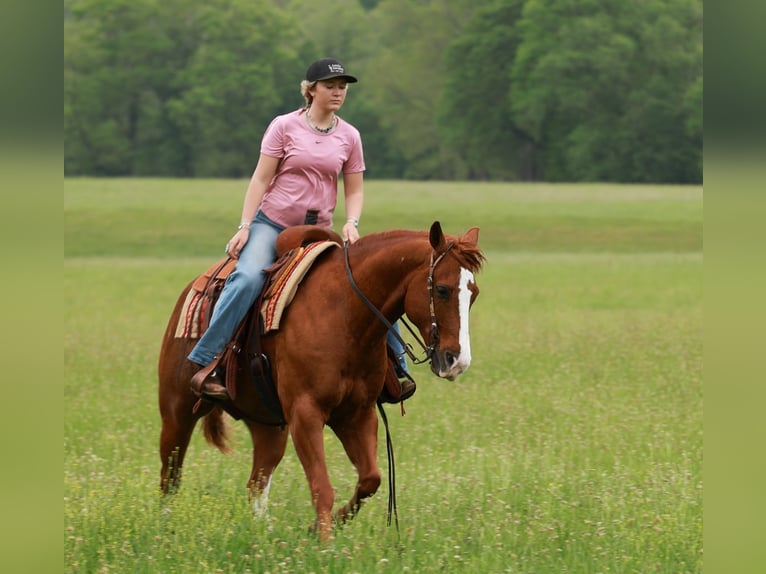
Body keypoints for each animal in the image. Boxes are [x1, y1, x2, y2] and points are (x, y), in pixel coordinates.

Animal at [158, 221, 485, 539]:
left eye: (474, 293)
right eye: (441, 289)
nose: (457, 361)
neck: (344, 313)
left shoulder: (358, 414)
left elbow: (370, 479)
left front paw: (320, 527)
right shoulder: (306, 414)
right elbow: (322, 487)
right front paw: (325, 543)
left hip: (269, 426)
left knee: (256, 483)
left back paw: (264, 532)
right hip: (176, 412)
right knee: (170, 476)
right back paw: (167, 527)